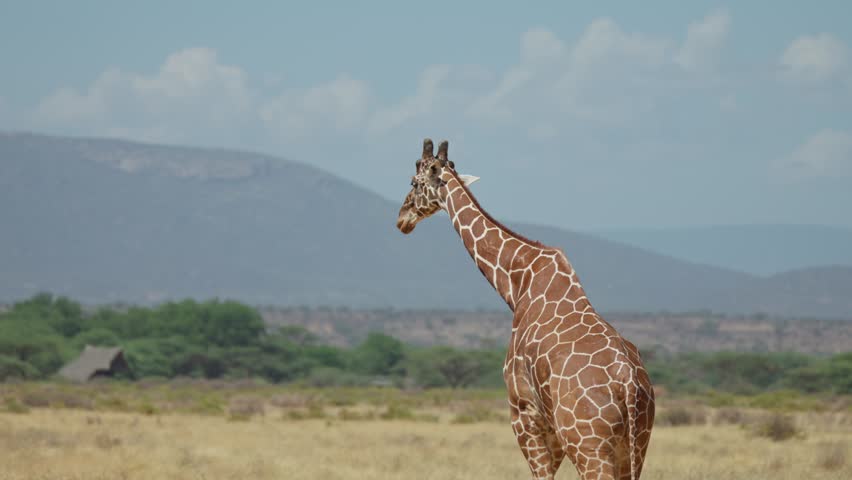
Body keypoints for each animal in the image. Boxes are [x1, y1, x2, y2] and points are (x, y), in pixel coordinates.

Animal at [396, 139, 655, 479]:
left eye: (414, 182)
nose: (402, 218)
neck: (518, 282)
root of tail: (629, 385)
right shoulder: (550, 429)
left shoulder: (523, 411)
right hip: (634, 445)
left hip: (588, 446)